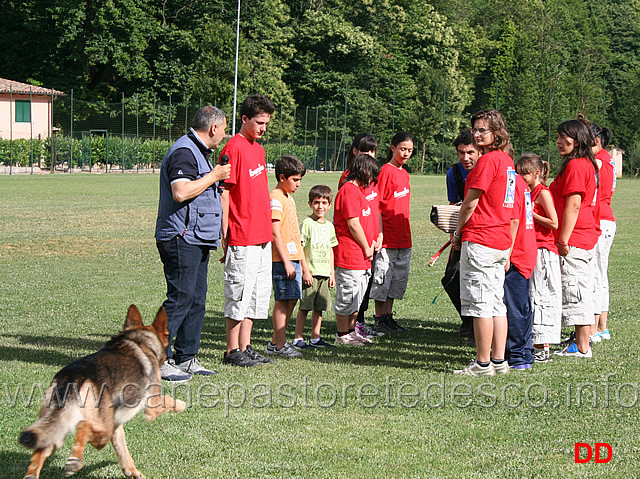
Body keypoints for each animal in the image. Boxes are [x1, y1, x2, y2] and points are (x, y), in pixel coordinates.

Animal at [17, 306, 186, 478]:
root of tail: (74, 377)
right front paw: (181, 405)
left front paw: (133, 472)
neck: (141, 341)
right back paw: (74, 461)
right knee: (85, 427)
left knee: (39, 452)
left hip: (58, 428)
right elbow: (169, 400)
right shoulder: (152, 406)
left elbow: (123, 452)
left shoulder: (116, 425)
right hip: (99, 429)